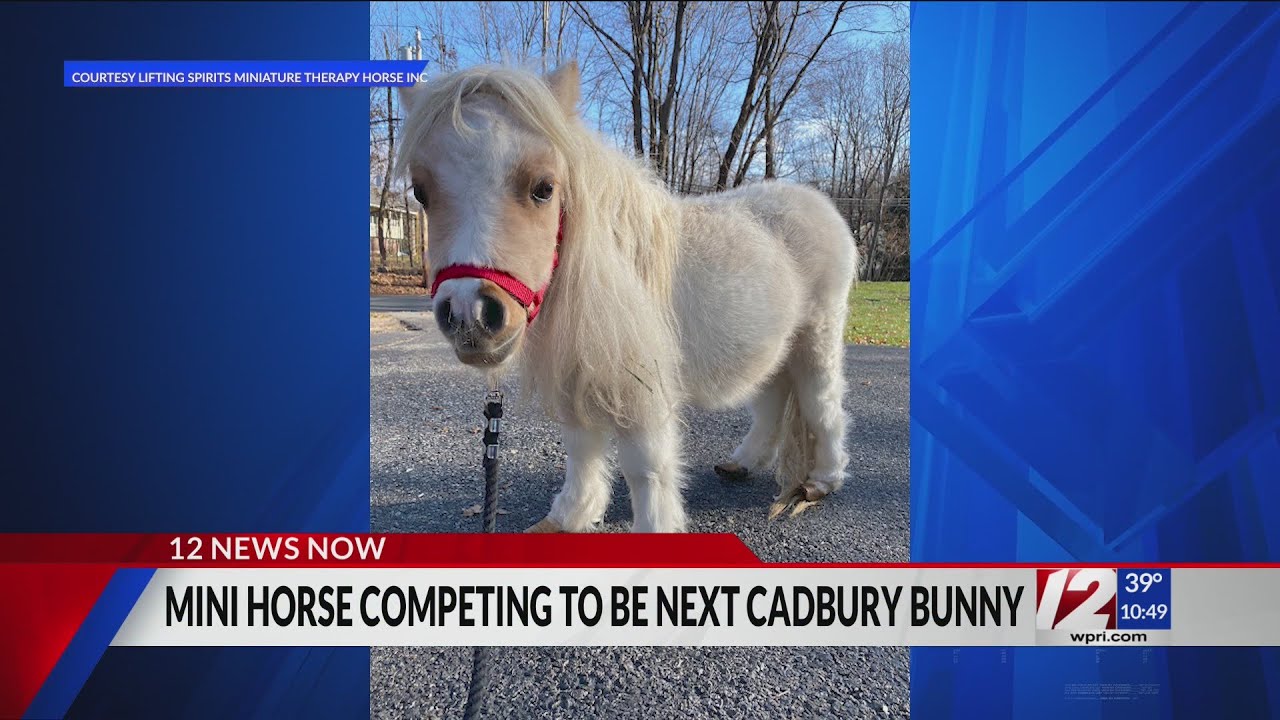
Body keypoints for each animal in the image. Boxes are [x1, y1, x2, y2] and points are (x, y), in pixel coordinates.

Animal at [396, 62, 857, 533]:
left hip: (817, 339)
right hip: (777, 348)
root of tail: (820, 204)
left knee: (823, 405)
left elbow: (646, 467)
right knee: (771, 399)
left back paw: (823, 480)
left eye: (544, 187)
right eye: (420, 192)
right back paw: (742, 462)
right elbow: (581, 448)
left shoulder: (642, 388)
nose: (470, 314)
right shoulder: (576, 371)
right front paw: (570, 515)